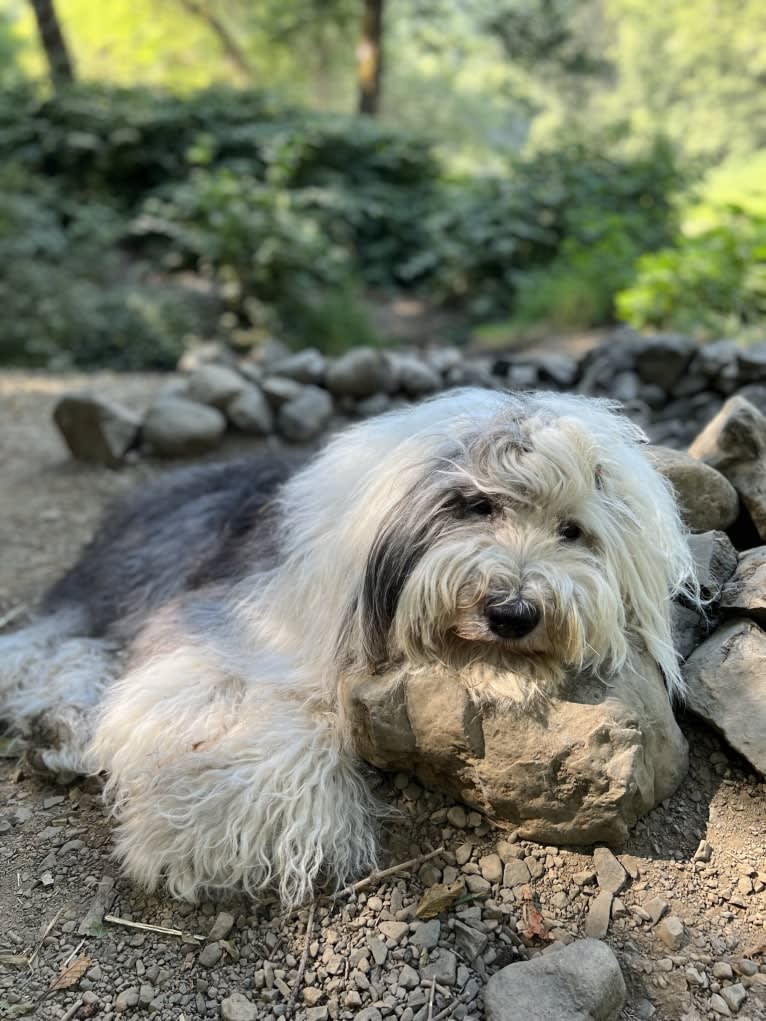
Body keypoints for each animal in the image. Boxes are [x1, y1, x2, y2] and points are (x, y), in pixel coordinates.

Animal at [0, 385, 694, 906]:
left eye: (573, 531)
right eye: (475, 505)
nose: (512, 613)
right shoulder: (220, 627)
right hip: (122, 581)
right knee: (51, 643)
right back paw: (59, 726)